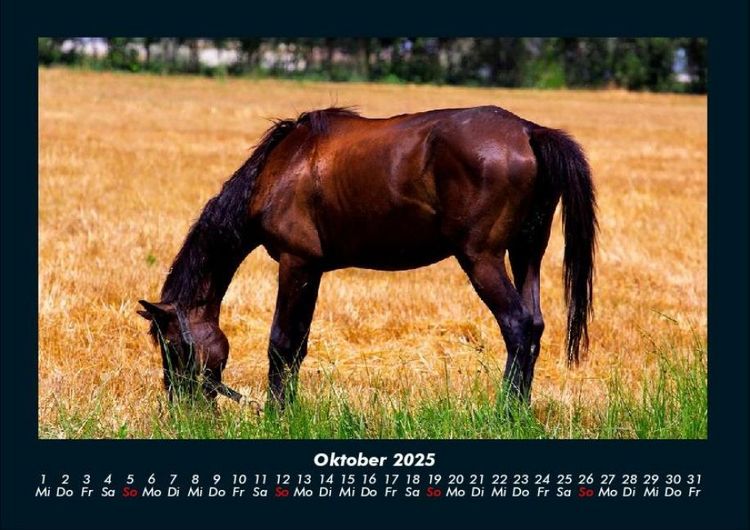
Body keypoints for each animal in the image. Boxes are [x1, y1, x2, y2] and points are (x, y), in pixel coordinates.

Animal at [137, 105, 597, 407]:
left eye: (173, 346)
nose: (182, 409)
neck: (281, 167)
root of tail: (529, 132)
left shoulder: (295, 263)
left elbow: (281, 343)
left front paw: (276, 414)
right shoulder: (314, 269)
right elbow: (298, 345)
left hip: (481, 258)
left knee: (517, 326)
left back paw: (505, 412)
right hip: (526, 254)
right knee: (534, 324)